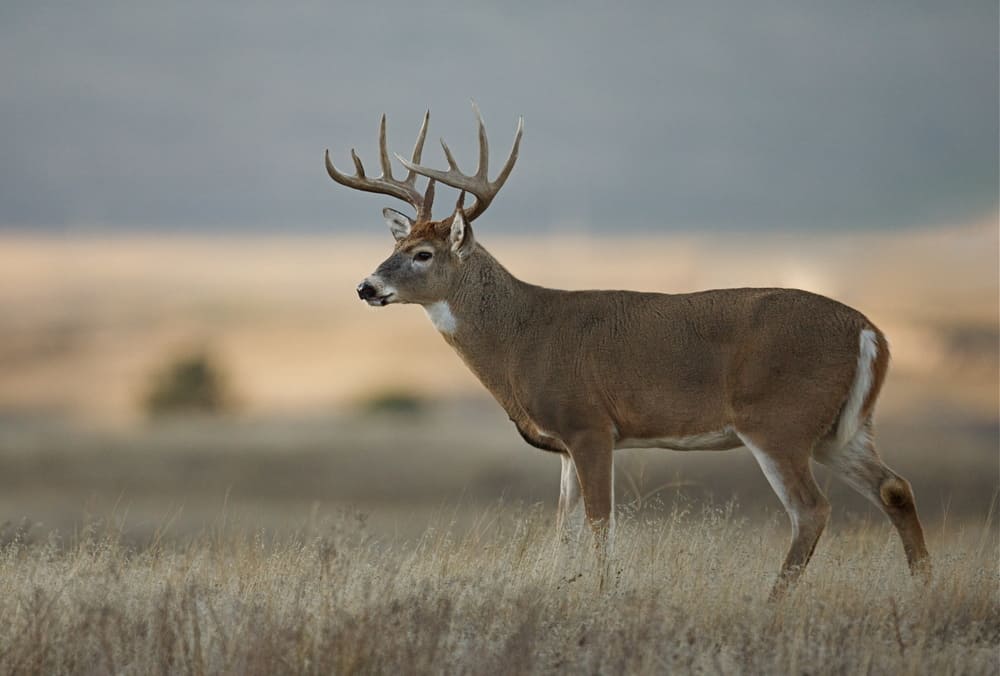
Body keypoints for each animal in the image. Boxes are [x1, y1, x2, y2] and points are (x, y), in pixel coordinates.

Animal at [326, 103, 928, 596]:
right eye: (396, 244)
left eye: (423, 254)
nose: (365, 287)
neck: (523, 337)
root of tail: (870, 331)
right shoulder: (565, 445)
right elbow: (564, 528)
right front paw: (564, 588)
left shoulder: (590, 423)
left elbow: (599, 522)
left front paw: (602, 592)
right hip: (838, 429)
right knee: (895, 487)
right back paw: (922, 586)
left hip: (778, 420)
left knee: (812, 509)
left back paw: (774, 601)